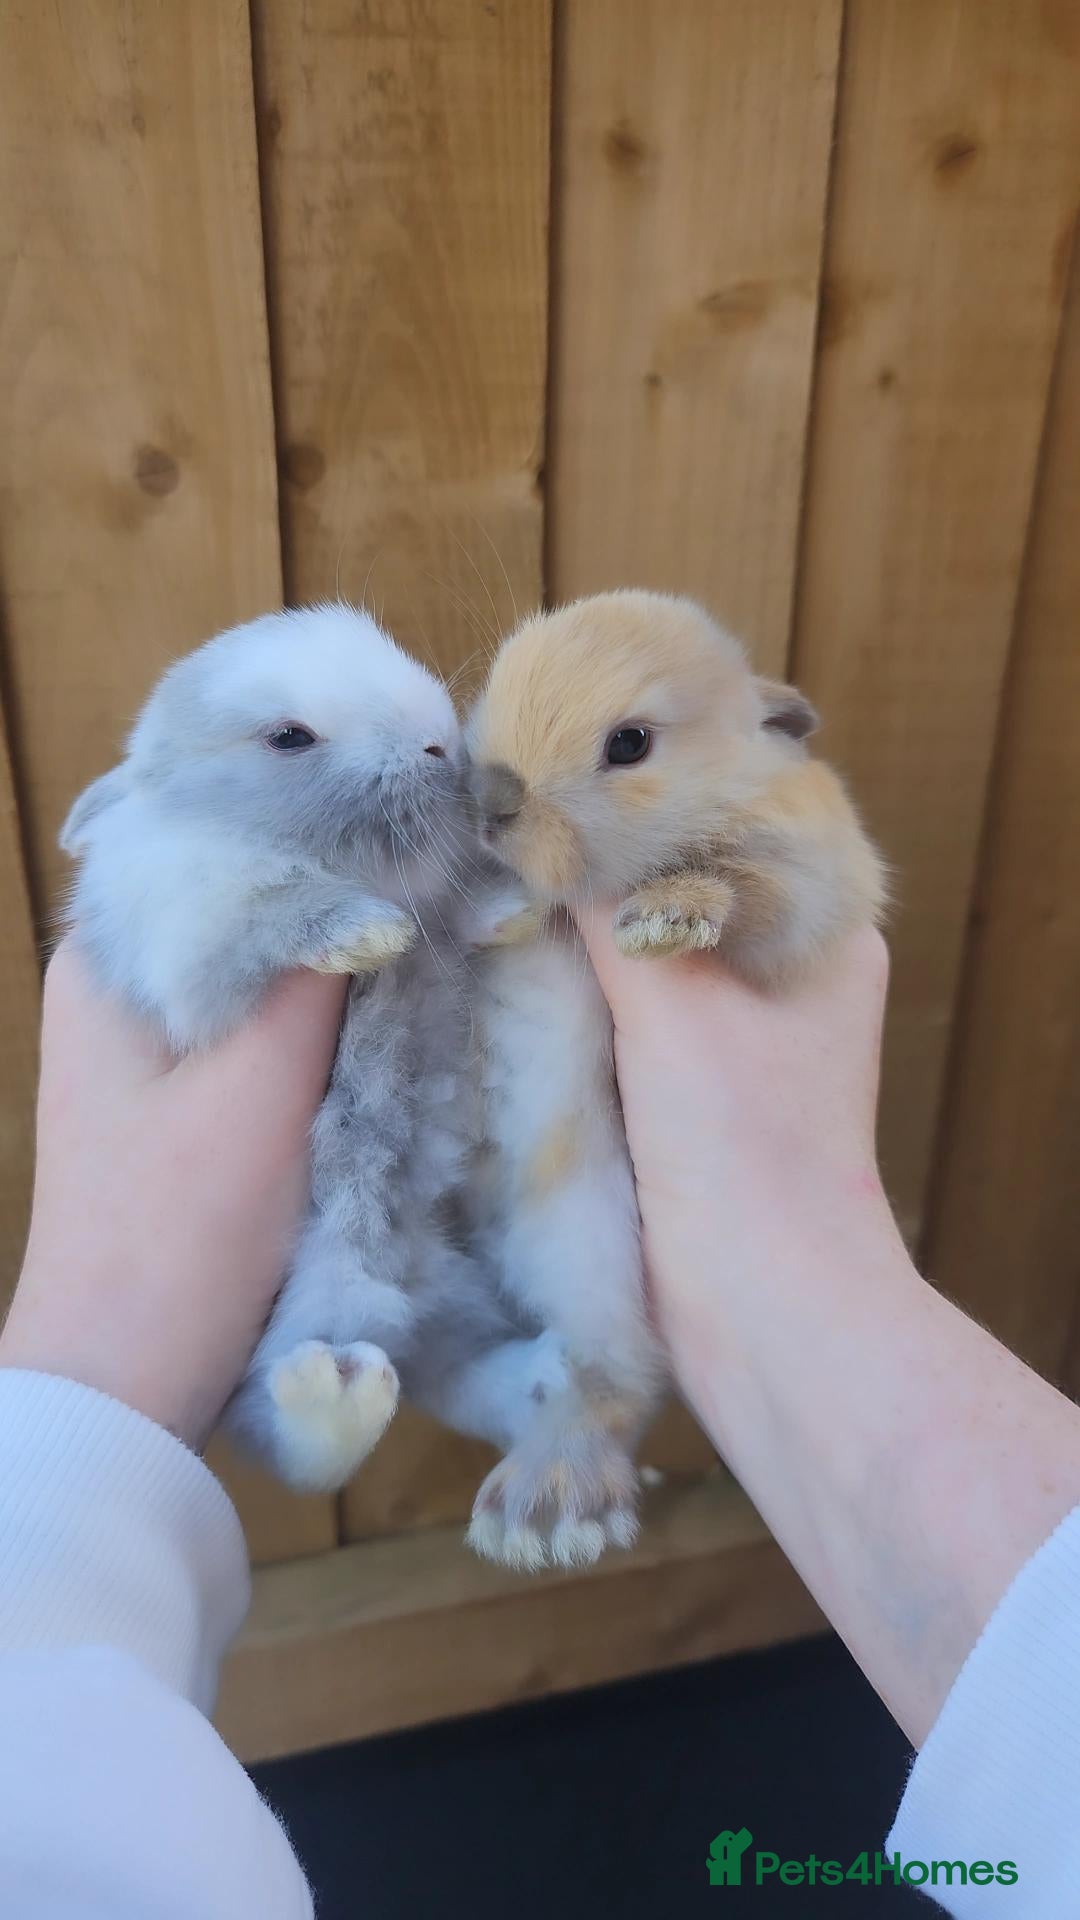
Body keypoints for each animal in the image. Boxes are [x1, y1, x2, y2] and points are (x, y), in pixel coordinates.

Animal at [59, 603, 573, 1499]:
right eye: (289, 738)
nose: (440, 744)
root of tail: (394, 1293)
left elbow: (452, 915)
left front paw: (506, 913)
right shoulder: (195, 947)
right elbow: (278, 910)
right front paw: (370, 934)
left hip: (444, 1300)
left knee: (460, 1371)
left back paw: (545, 1370)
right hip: (282, 1319)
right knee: (286, 1441)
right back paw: (330, 1397)